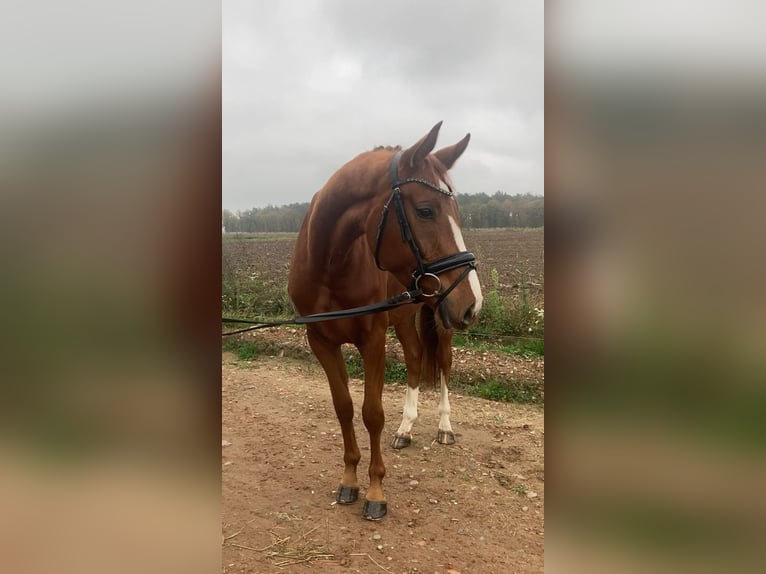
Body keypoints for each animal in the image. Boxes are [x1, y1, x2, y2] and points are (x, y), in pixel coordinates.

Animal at [288, 121, 486, 520]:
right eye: (425, 210)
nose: (473, 302)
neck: (330, 266)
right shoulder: (321, 342)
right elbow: (344, 408)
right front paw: (349, 480)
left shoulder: (373, 340)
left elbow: (372, 413)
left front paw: (376, 491)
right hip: (406, 318)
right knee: (414, 359)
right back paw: (406, 429)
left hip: (440, 318)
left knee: (443, 365)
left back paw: (444, 426)